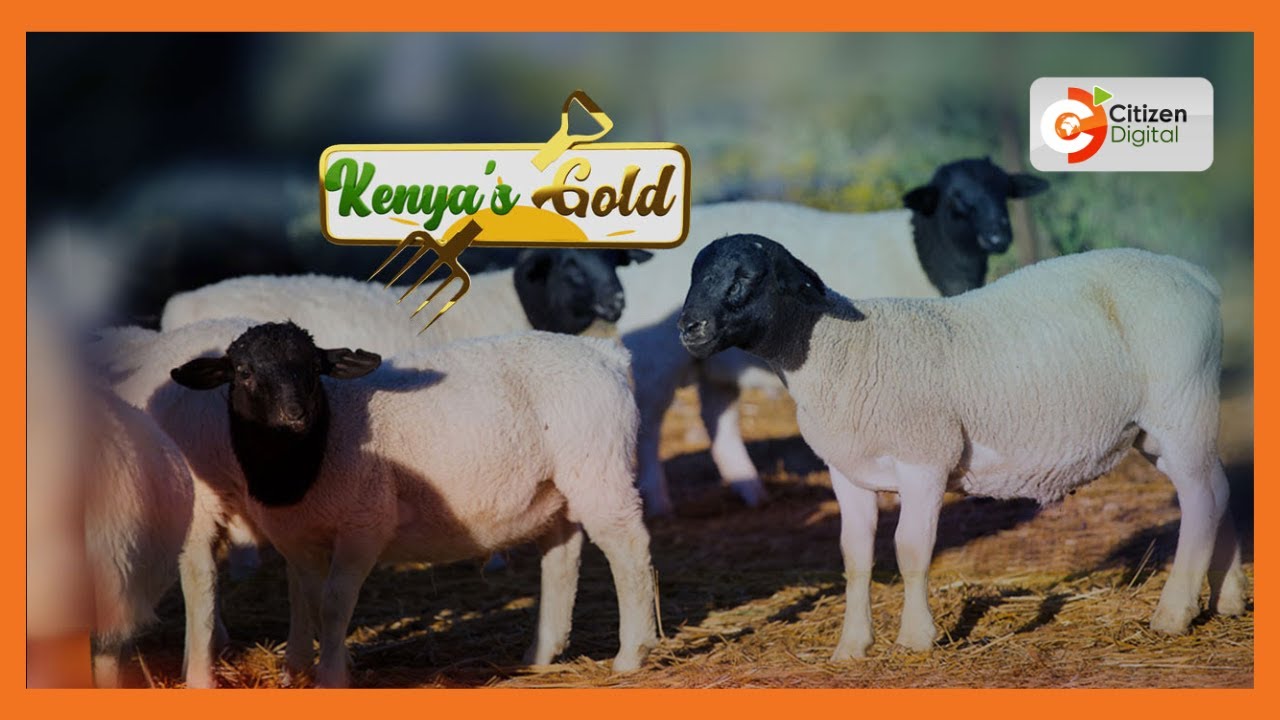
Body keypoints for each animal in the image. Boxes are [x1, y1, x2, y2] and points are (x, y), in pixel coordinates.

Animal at [618, 158, 1050, 516]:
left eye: (1003, 191)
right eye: (956, 201)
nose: (998, 238)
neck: (925, 258)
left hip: (716, 359)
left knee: (716, 416)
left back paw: (751, 490)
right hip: (657, 356)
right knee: (649, 423)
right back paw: (658, 501)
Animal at [676, 235, 1246, 657]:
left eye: (746, 277)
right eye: (693, 276)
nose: (689, 327)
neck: (838, 351)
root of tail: (1197, 276)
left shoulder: (925, 458)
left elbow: (910, 550)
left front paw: (915, 639)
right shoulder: (847, 471)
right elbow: (855, 557)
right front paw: (851, 648)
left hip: (1181, 402)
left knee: (1200, 501)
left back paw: (1173, 615)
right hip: (1162, 428)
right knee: (1218, 490)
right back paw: (1231, 598)